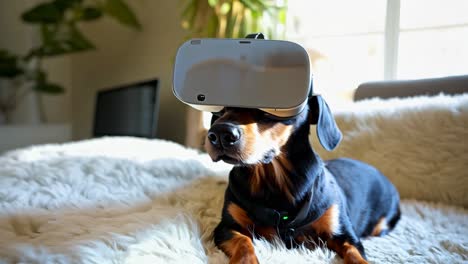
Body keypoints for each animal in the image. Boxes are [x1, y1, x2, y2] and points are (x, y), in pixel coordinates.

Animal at [206, 95, 402, 264]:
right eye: (220, 110)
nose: (219, 134)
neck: (273, 180)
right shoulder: (226, 227)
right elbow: (243, 241)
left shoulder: (344, 233)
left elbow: (354, 253)